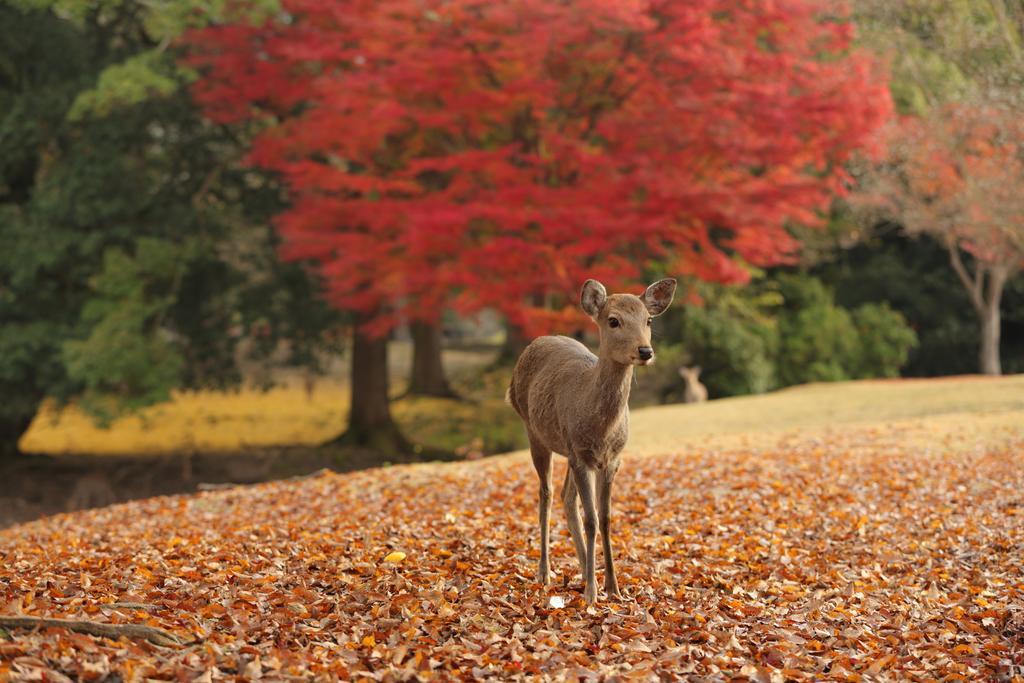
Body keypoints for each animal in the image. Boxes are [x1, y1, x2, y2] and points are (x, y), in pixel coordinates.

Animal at [507, 278, 675, 602]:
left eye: (648, 320)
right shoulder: (581, 454)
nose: (645, 351)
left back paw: (585, 570)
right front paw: (592, 594)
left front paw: (613, 587)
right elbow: (592, 519)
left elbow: (606, 518)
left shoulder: (611, 459)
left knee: (565, 496)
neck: (601, 430)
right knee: (546, 493)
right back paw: (545, 572)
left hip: (568, 449)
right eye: (613, 321)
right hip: (534, 430)